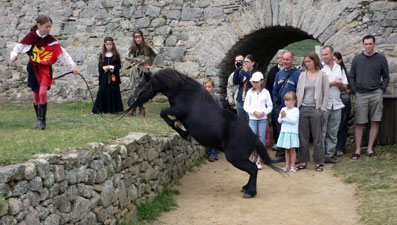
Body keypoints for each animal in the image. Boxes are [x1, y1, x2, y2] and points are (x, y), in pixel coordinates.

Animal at [127, 67, 282, 198]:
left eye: (140, 84)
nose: (130, 102)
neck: (185, 93)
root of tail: (253, 137)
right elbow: (167, 116)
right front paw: (181, 129)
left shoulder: (179, 110)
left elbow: (163, 113)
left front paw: (184, 133)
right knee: (252, 169)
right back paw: (246, 188)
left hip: (235, 158)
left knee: (253, 169)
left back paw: (250, 192)